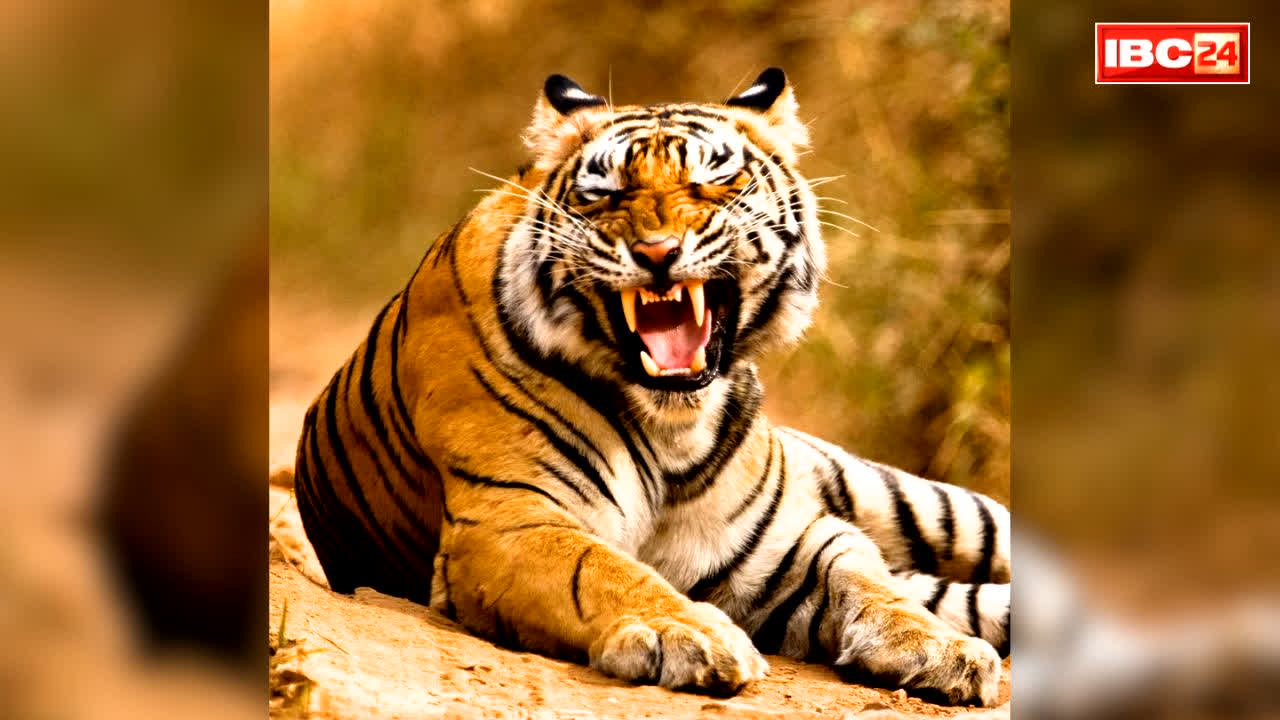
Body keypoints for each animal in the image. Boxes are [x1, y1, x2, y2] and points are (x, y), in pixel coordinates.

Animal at [293, 68, 1011, 706]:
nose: (659, 251)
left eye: (715, 181)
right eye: (606, 193)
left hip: (913, 499)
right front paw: (689, 633)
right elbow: (600, 569)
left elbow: (867, 578)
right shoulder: (508, 520)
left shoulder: (787, 543)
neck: (672, 427)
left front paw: (938, 649)